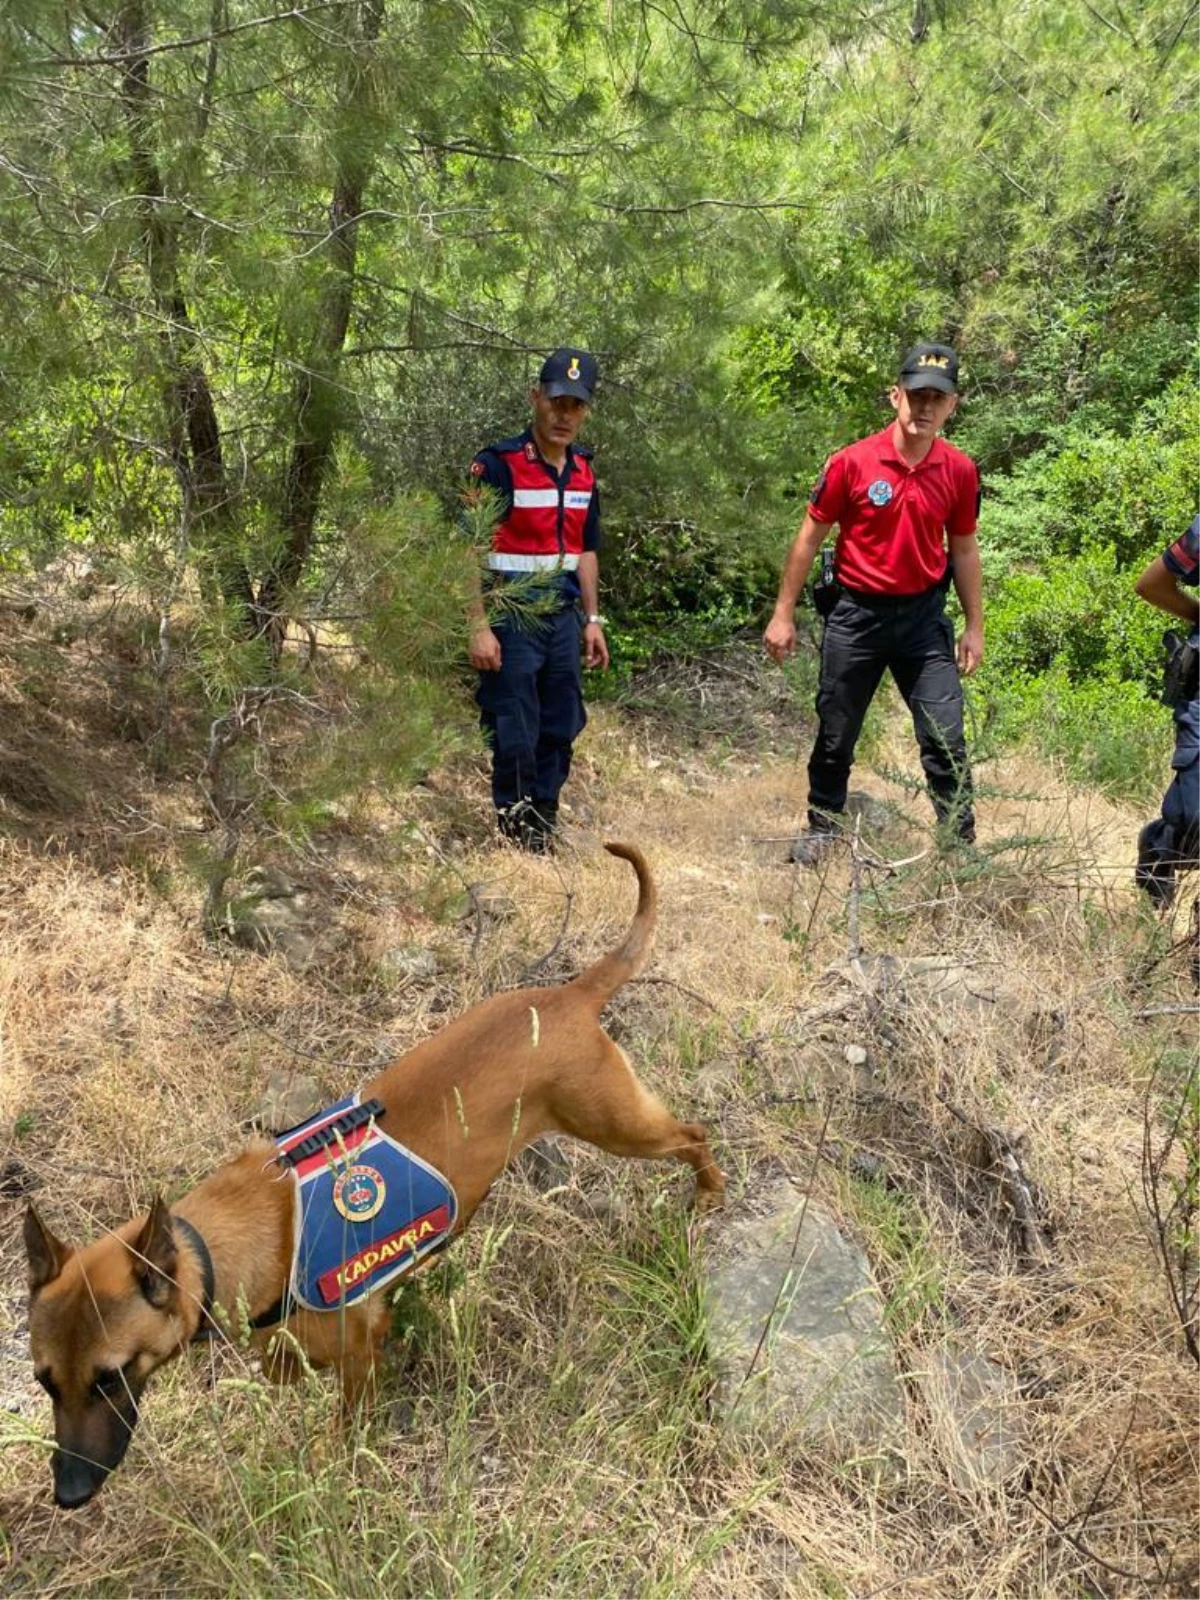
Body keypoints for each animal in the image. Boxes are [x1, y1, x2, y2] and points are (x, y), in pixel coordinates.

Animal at [23, 844, 729, 1504]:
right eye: (44, 1381)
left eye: (112, 1376)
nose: (69, 1494)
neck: (221, 1243)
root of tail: (567, 993)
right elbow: (284, 1362)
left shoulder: (356, 1349)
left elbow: (344, 1413)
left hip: (619, 1126)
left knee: (695, 1136)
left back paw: (709, 1196)